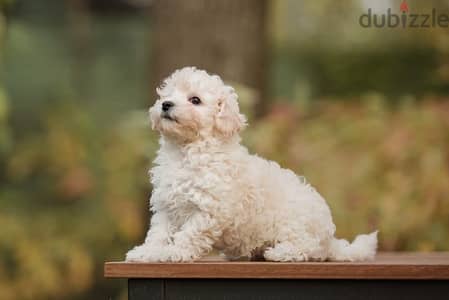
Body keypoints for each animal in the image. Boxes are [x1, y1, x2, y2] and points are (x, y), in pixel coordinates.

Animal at [124, 67, 376, 262]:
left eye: (195, 100)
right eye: (167, 94)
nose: (165, 104)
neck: (187, 151)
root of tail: (330, 239)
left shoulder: (208, 209)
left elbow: (188, 235)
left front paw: (173, 252)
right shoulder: (166, 206)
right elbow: (158, 233)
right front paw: (147, 252)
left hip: (295, 224)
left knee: (306, 248)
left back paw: (279, 253)